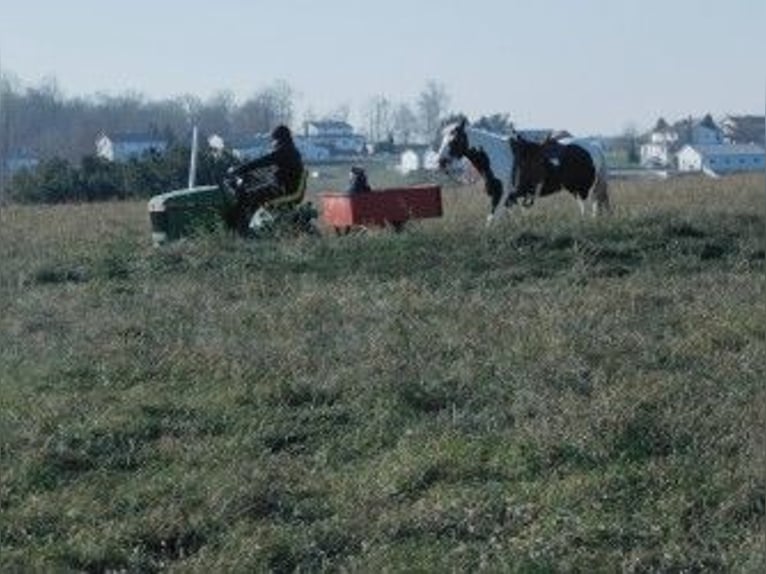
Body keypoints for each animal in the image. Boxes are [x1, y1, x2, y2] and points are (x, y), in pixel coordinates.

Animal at [438, 119, 612, 223]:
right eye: (442, 139)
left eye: (454, 140)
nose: (440, 161)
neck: (495, 155)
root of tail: (593, 146)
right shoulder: (509, 199)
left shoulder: (500, 195)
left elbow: (491, 220)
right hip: (577, 190)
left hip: (584, 191)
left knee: (588, 211)